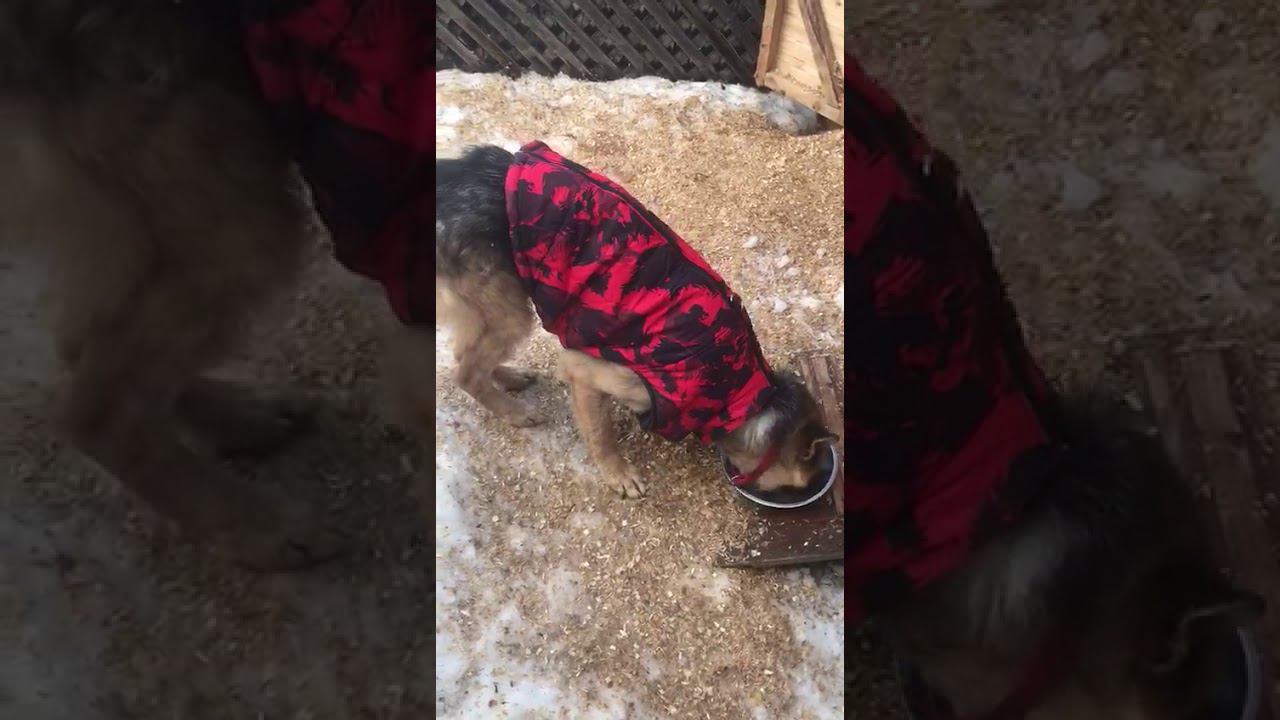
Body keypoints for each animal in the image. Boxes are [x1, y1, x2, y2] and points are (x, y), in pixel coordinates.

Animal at [435, 142, 837, 500]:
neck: (740, 389)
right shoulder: (589, 372)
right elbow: (601, 435)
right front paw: (619, 474)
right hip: (509, 313)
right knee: (465, 372)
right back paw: (514, 411)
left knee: (466, 354)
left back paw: (509, 377)